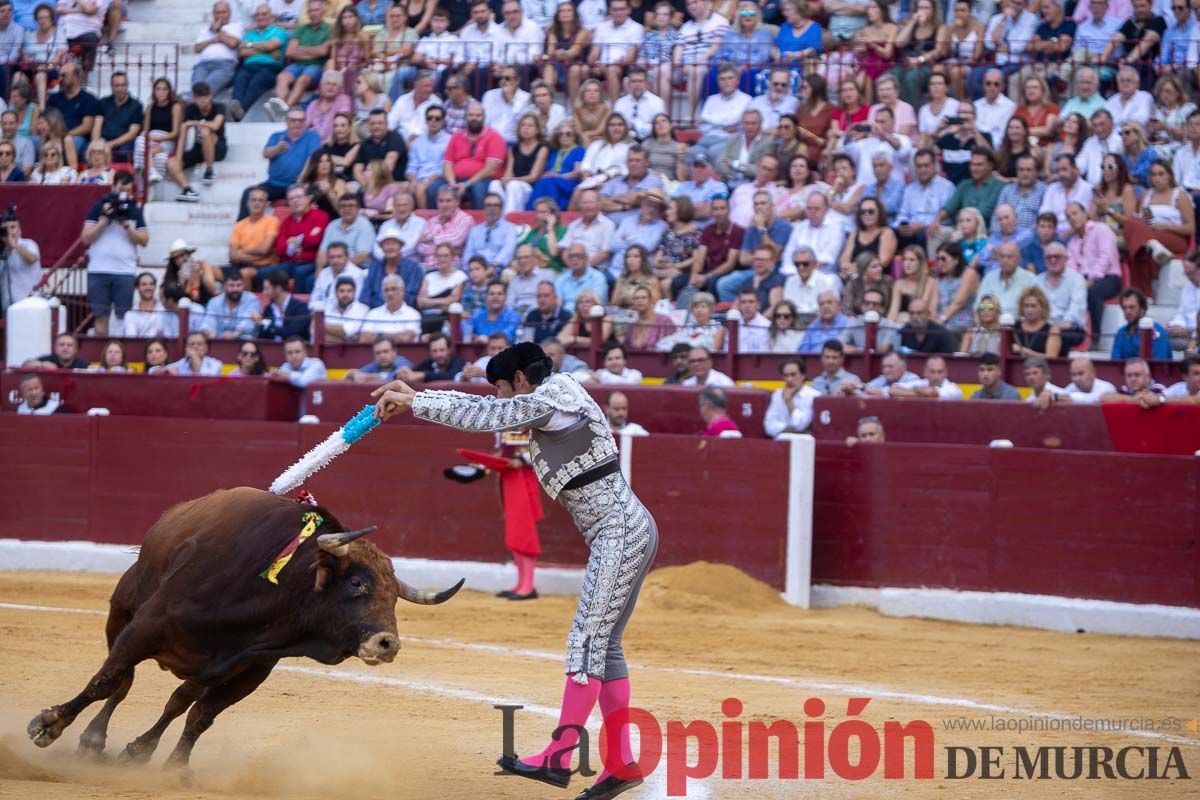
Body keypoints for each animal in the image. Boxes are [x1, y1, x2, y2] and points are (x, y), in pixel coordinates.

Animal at [29, 484, 458, 767]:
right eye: (356, 583)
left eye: (395, 595)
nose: (388, 644)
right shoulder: (144, 628)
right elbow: (107, 681)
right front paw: (48, 725)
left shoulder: (250, 668)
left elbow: (202, 714)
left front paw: (175, 769)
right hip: (122, 612)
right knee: (122, 682)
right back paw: (93, 739)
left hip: (203, 667)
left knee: (179, 699)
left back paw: (138, 750)